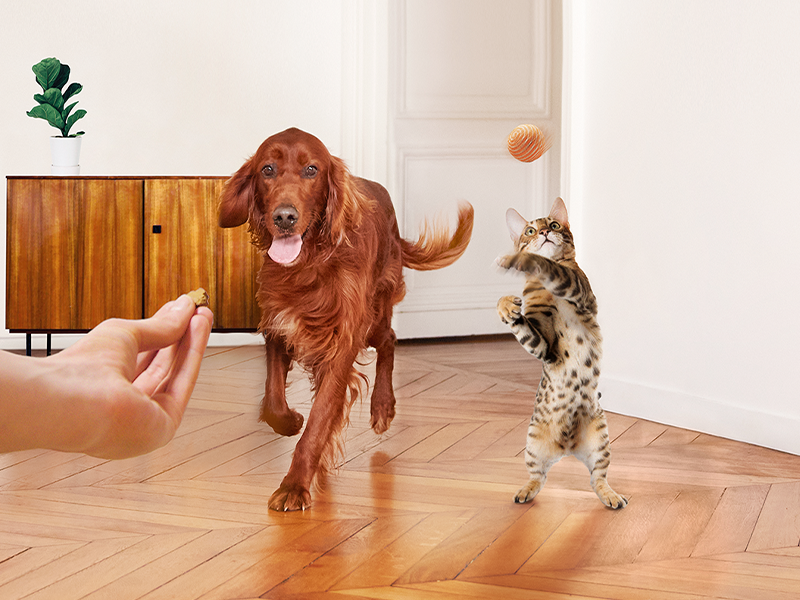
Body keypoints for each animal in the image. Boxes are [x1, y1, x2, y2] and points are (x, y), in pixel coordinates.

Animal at [219, 127, 472, 510]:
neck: (309, 264)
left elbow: (320, 418)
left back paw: (382, 407)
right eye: (267, 169)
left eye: (311, 169)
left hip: (375, 313)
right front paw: (291, 422)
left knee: (390, 340)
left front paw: (295, 485)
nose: (284, 217)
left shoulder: (342, 342)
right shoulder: (279, 327)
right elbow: (274, 401)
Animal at [496, 197, 628, 510]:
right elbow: (521, 324)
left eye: (554, 225)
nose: (544, 232)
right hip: (533, 443)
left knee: (598, 478)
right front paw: (506, 306)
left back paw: (612, 496)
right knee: (539, 476)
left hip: (602, 439)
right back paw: (525, 491)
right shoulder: (544, 347)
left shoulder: (577, 288)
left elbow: (550, 266)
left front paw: (519, 261)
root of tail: (568, 448)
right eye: (530, 231)